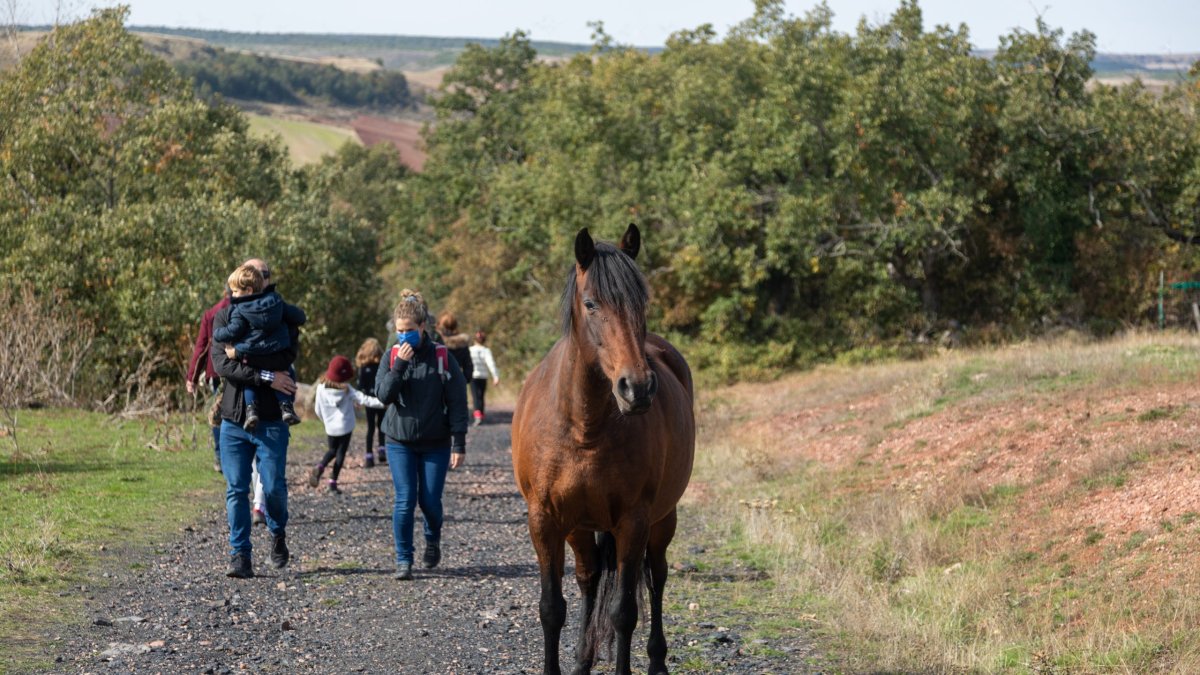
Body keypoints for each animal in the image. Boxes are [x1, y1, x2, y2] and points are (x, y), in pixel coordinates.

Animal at [512, 224, 696, 675]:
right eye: (591, 303)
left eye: (642, 301)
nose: (638, 387)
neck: (583, 429)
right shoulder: (545, 521)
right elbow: (552, 608)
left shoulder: (634, 522)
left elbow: (624, 611)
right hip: (579, 527)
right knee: (589, 577)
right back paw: (582, 660)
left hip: (662, 520)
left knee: (657, 575)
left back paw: (657, 661)